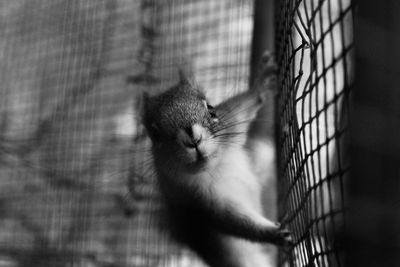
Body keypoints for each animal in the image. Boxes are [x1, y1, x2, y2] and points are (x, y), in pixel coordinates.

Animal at [142, 53, 292, 266]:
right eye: (155, 135)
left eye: (212, 109)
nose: (193, 139)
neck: (216, 166)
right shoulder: (199, 200)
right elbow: (236, 222)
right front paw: (274, 233)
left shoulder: (231, 120)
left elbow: (244, 103)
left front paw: (262, 83)